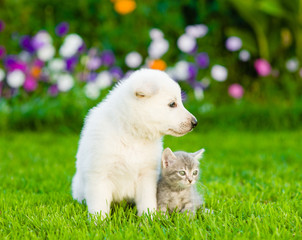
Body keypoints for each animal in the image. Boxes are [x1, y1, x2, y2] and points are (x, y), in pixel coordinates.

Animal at [72, 68, 197, 218]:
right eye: (172, 104)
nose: (195, 122)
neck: (132, 135)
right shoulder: (99, 175)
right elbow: (99, 206)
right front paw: (99, 222)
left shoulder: (147, 175)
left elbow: (147, 201)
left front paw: (149, 219)